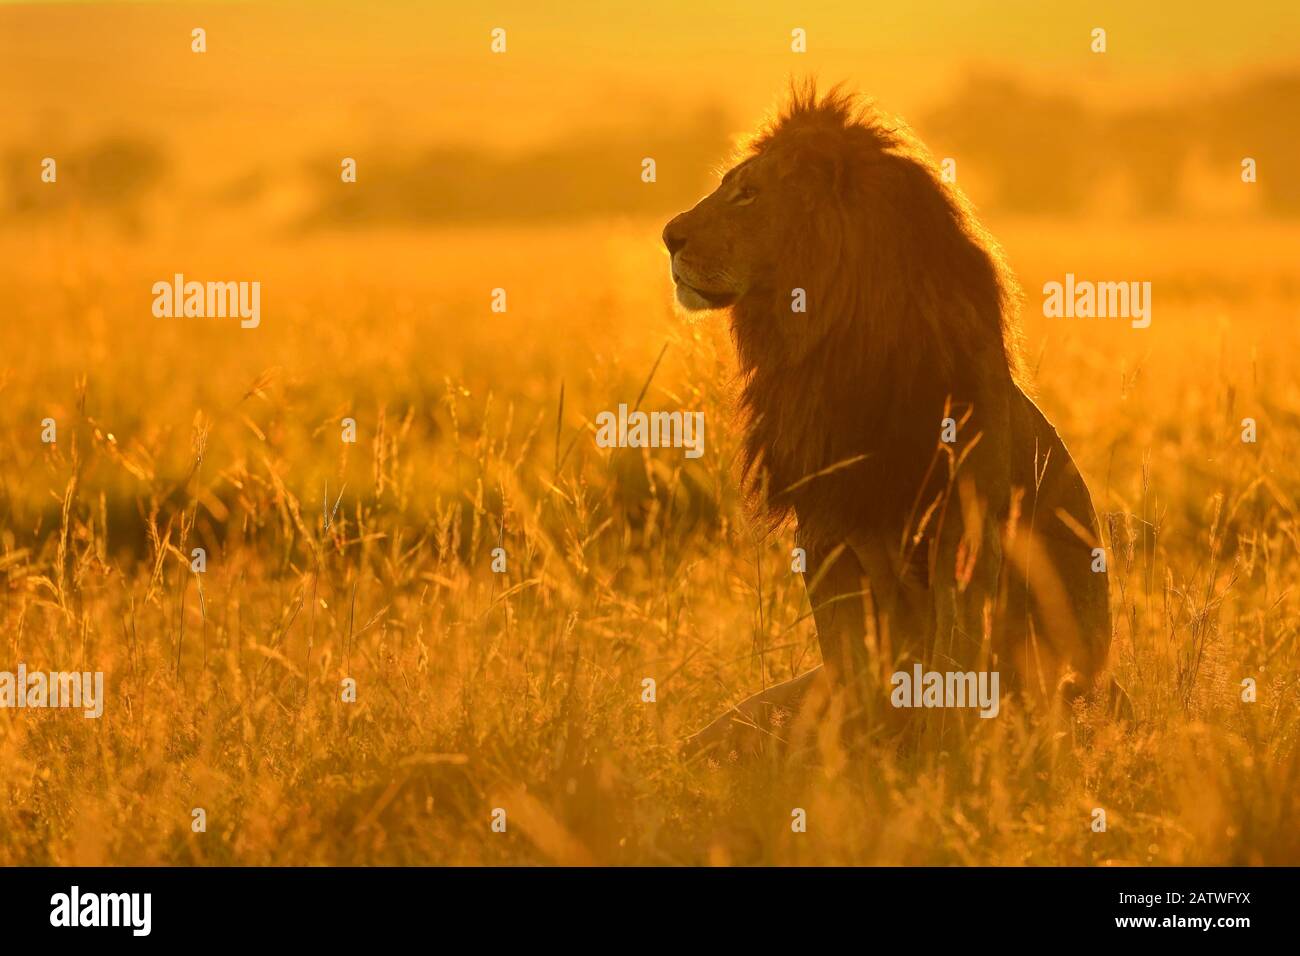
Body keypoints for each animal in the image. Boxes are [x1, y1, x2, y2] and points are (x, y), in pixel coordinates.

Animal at [660, 82, 1128, 759]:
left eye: (747, 192)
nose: (667, 237)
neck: (830, 349)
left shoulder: (964, 527)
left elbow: (953, 660)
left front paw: (941, 760)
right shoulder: (825, 531)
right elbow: (854, 665)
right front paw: (859, 763)